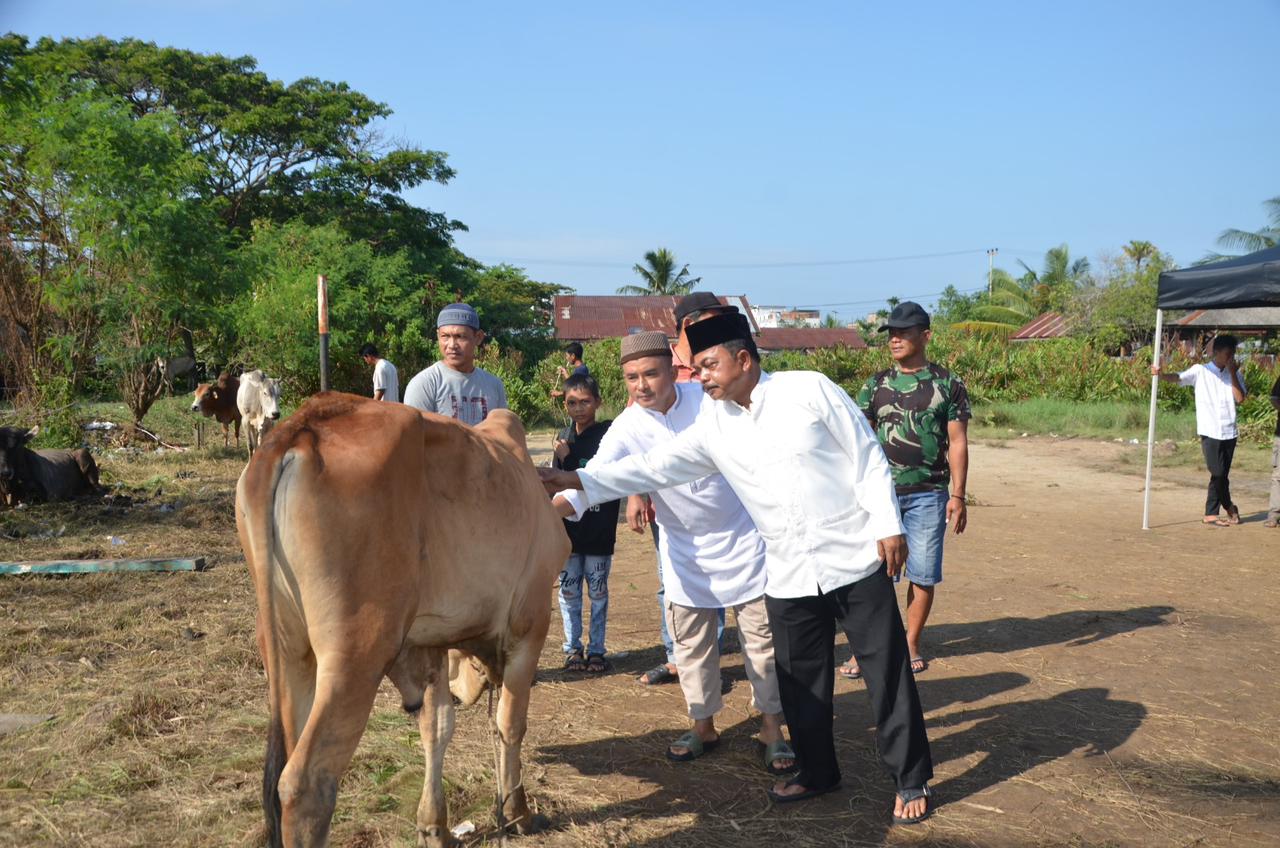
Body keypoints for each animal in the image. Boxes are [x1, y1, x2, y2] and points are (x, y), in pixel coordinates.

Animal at [235, 394, 565, 845]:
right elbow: (510, 724)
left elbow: (437, 727)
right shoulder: (529, 626)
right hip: (356, 653)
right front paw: (518, 811)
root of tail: (299, 429)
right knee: (305, 785)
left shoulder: (426, 645)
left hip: (287, 651)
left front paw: (434, 825)